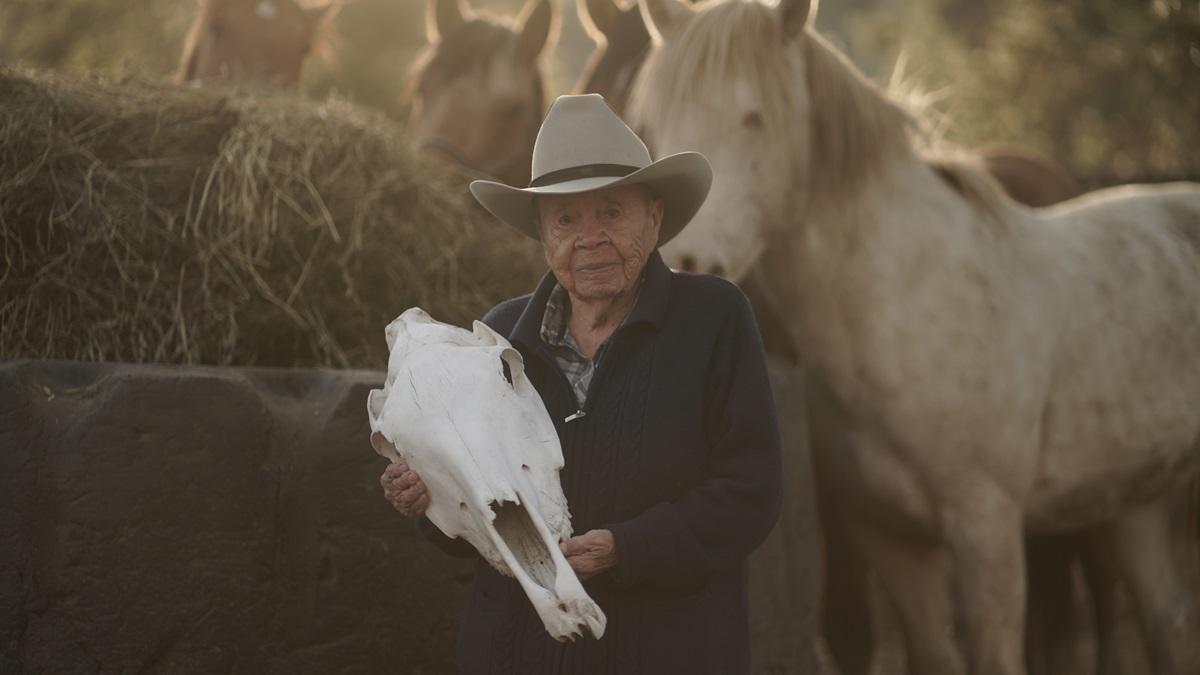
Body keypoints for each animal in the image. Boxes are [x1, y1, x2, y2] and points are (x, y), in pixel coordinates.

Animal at [629, 1, 1200, 674]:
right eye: (654, 125)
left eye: (753, 116)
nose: (683, 261)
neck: (904, 305)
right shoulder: (891, 541)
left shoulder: (987, 529)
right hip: (1135, 507)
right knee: (1166, 622)